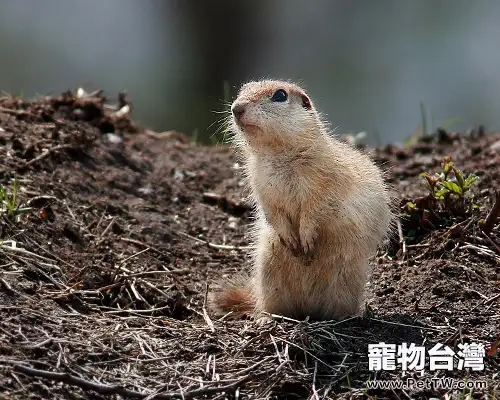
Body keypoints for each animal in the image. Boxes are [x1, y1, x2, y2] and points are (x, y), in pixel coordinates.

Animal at [209, 79, 392, 320]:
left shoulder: (322, 181)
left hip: (345, 279)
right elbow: (271, 210)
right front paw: (291, 239)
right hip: (268, 274)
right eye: (242, 89)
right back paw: (266, 318)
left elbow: (314, 208)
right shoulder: (260, 184)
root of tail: (308, 307)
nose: (236, 108)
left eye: (280, 95)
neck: (277, 153)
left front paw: (305, 237)